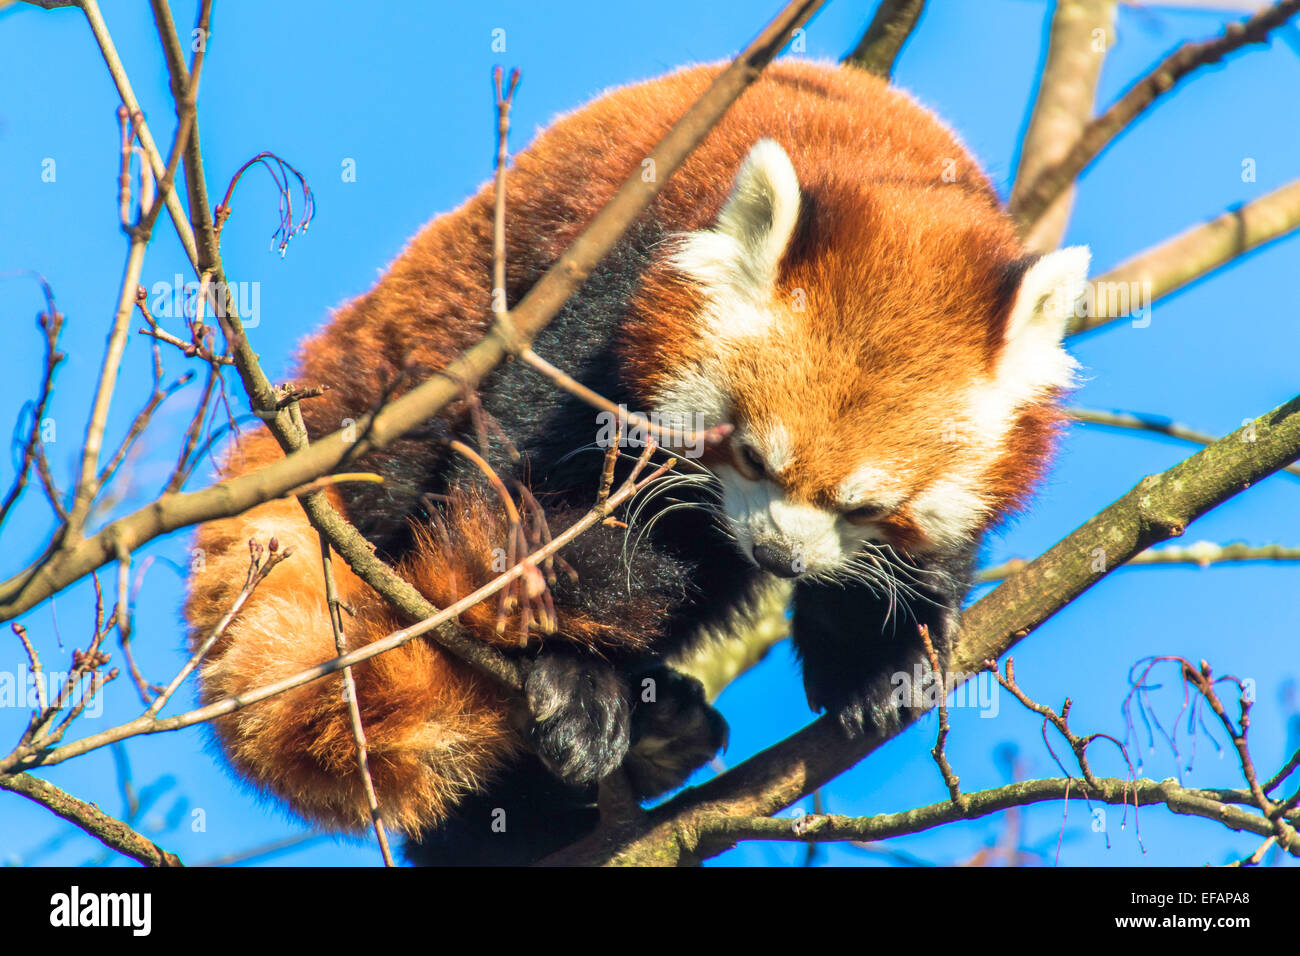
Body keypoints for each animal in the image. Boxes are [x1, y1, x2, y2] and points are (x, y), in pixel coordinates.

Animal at [183, 59, 1086, 868]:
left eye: (867, 508)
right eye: (750, 456)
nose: (780, 555)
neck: (888, 169)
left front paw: (880, 660)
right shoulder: (610, 282)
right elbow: (521, 478)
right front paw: (569, 668)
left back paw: (654, 736)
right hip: (392, 412)